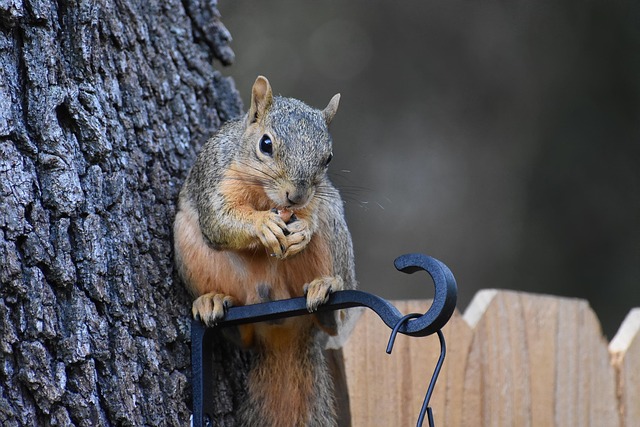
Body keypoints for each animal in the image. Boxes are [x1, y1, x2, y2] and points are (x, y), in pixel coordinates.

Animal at [173, 76, 356, 426]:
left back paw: (325, 289)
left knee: (332, 322)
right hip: (187, 243)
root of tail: (281, 326)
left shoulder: (316, 202)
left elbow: (309, 217)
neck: (265, 196)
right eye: (266, 144)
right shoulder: (216, 179)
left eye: (328, 157)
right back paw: (212, 301)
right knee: (240, 334)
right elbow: (219, 220)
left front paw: (302, 230)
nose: (296, 196)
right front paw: (262, 225)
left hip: (332, 230)